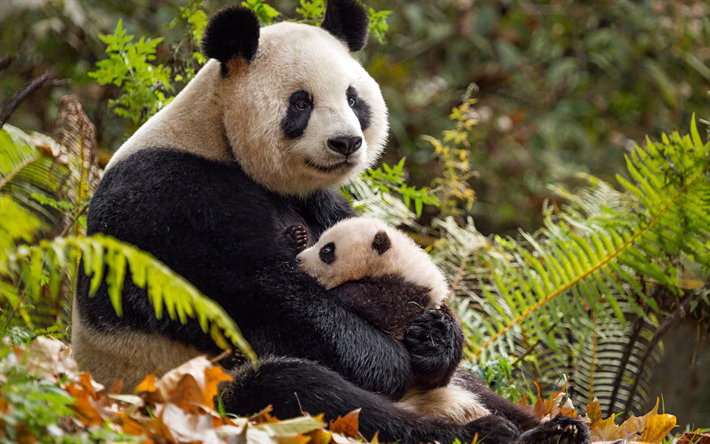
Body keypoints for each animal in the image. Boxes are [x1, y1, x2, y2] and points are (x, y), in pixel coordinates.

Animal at [72, 1, 589, 443]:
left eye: (354, 98)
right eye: (300, 103)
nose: (346, 143)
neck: (216, 136)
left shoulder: (317, 200)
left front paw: (436, 339)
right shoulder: (177, 205)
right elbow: (267, 301)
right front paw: (392, 360)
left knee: (476, 388)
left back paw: (558, 428)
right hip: (190, 390)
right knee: (304, 392)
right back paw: (484, 432)